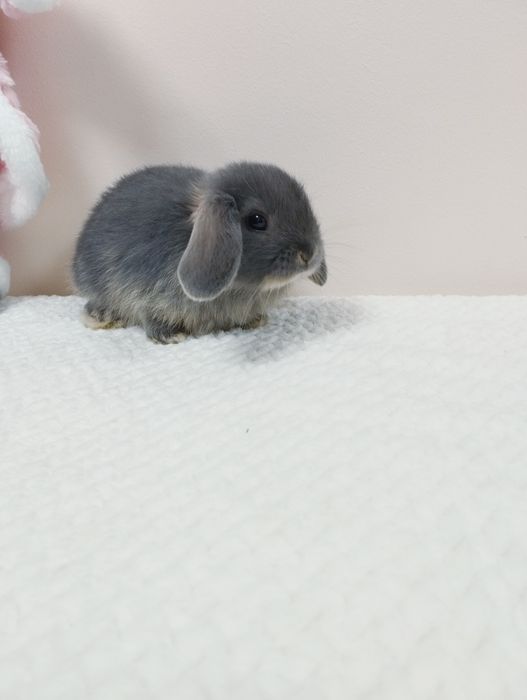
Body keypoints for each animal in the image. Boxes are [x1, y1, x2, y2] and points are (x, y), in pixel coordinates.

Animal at [72, 161, 327, 343]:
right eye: (257, 220)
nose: (309, 254)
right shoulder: (143, 292)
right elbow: (149, 315)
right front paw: (171, 336)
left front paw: (257, 320)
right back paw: (102, 317)